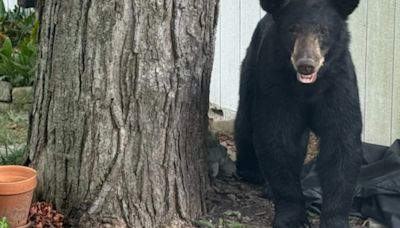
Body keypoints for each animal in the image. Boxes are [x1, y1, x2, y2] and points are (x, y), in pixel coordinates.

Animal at [236, 0, 364, 227]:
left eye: (323, 31)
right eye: (292, 29)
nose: (306, 65)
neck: (307, 89)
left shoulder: (339, 86)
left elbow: (342, 142)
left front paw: (335, 219)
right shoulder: (275, 86)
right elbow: (277, 137)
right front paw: (293, 218)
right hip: (251, 69)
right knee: (245, 119)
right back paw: (251, 171)